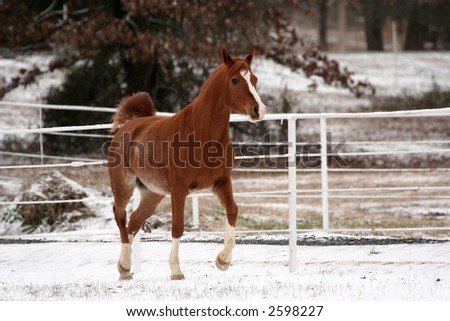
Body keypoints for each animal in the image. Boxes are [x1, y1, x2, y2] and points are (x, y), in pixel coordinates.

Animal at [107, 48, 266, 280]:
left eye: (254, 79)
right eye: (235, 80)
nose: (258, 110)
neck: (201, 133)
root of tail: (128, 126)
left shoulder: (221, 182)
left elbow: (233, 211)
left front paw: (223, 261)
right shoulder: (179, 189)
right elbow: (177, 227)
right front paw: (176, 271)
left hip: (152, 194)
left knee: (134, 221)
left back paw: (124, 269)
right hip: (123, 186)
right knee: (120, 217)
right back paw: (126, 266)